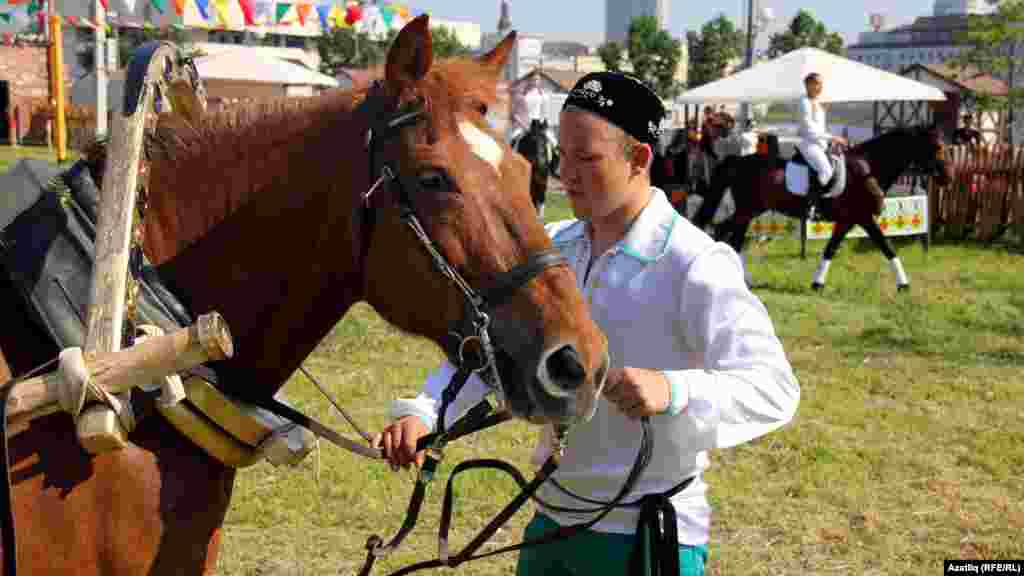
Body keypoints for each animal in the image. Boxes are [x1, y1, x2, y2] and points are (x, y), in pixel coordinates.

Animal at [696, 124, 950, 289]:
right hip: (747, 211)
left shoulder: (848, 220)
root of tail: (737, 160)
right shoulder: (864, 217)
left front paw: (817, 283)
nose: (948, 177)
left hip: (749, 211)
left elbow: (831, 248)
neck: (868, 168)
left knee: (731, 237)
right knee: (725, 233)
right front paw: (903, 284)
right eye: (937, 147)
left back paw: (742, 278)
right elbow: (887, 247)